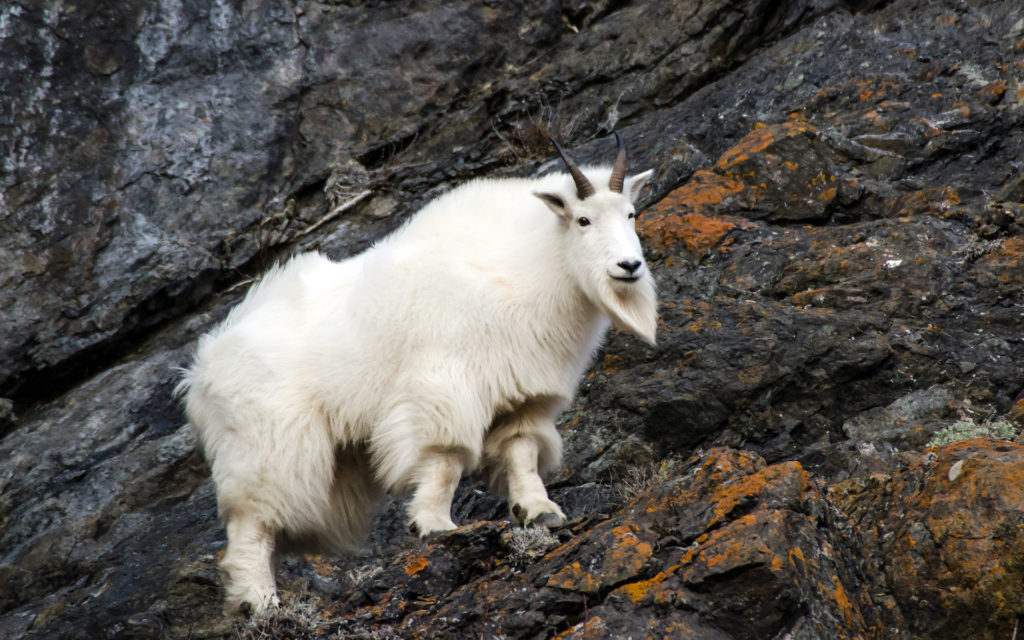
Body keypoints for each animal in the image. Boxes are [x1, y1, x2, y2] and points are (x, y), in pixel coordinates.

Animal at [178, 134, 657, 613]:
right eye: (582, 219)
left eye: (631, 214)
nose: (629, 267)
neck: (527, 266)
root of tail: (199, 374)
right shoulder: (443, 385)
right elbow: (445, 459)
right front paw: (433, 524)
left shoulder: (524, 395)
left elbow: (522, 452)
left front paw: (539, 511)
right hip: (265, 447)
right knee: (252, 522)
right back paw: (259, 602)